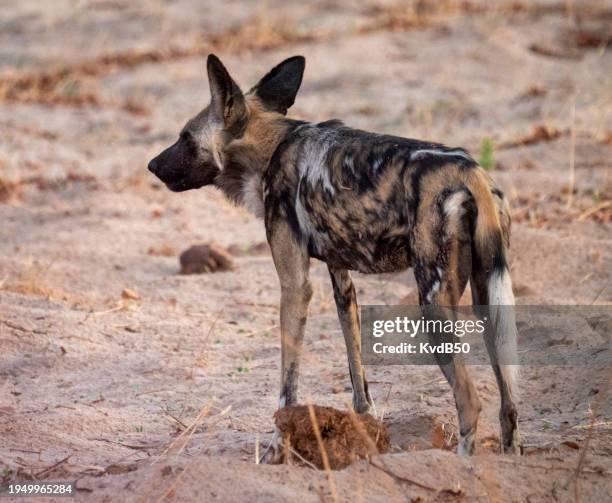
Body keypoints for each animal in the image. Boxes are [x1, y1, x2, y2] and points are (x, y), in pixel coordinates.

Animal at [148, 54, 520, 460]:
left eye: (185, 137)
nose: (152, 165)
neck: (269, 147)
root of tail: (472, 173)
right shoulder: (342, 281)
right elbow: (357, 374)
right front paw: (366, 436)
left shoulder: (295, 286)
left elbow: (287, 387)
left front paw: (277, 450)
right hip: (487, 299)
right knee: (508, 402)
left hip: (434, 305)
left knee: (470, 401)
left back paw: (464, 463)